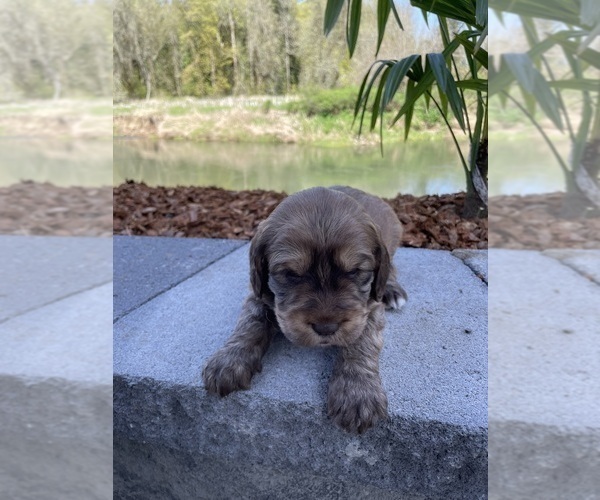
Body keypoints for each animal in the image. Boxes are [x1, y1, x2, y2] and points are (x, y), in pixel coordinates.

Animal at [203, 186, 408, 432]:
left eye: (355, 271)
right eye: (291, 274)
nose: (326, 328)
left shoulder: (368, 306)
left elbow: (362, 340)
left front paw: (357, 392)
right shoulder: (258, 293)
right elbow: (250, 321)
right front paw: (229, 360)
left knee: (392, 268)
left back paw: (392, 289)